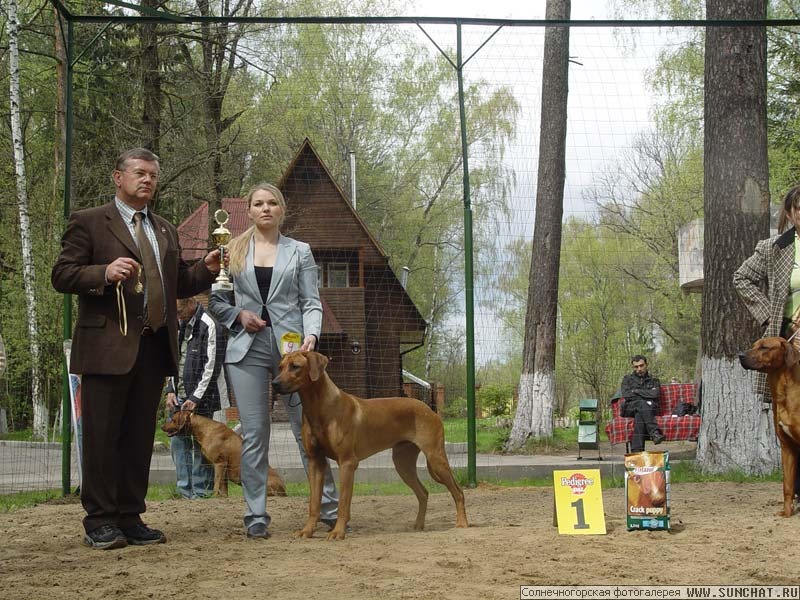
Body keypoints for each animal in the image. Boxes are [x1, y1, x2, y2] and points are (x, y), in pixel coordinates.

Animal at [160, 412, 288, 496]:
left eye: (173, 419)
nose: (161, 426)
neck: (204, 430)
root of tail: (284, 490)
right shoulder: (224, 469)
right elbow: (224, 488)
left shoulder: (219, 463)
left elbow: (216, 483)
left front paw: (214, 497)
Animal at [272, 350, 468, 540]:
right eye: (280, 367)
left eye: (295, 366)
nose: (274, 384)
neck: (319, 407)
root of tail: (430, 409)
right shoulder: (315, 462)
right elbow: (313, 503)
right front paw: (307, 531)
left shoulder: (347, 462)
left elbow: (343, 503)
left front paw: (338, 532)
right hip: (403, 463)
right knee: (423, 493)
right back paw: (419, 525)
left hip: (435, 457)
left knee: (458, 492)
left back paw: (462, 523)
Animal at [736, 336, 800, 516]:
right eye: (753, 346)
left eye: (764, 347)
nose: (740, 355)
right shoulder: (787, 447)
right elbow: (787, 485)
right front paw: (786, 513)